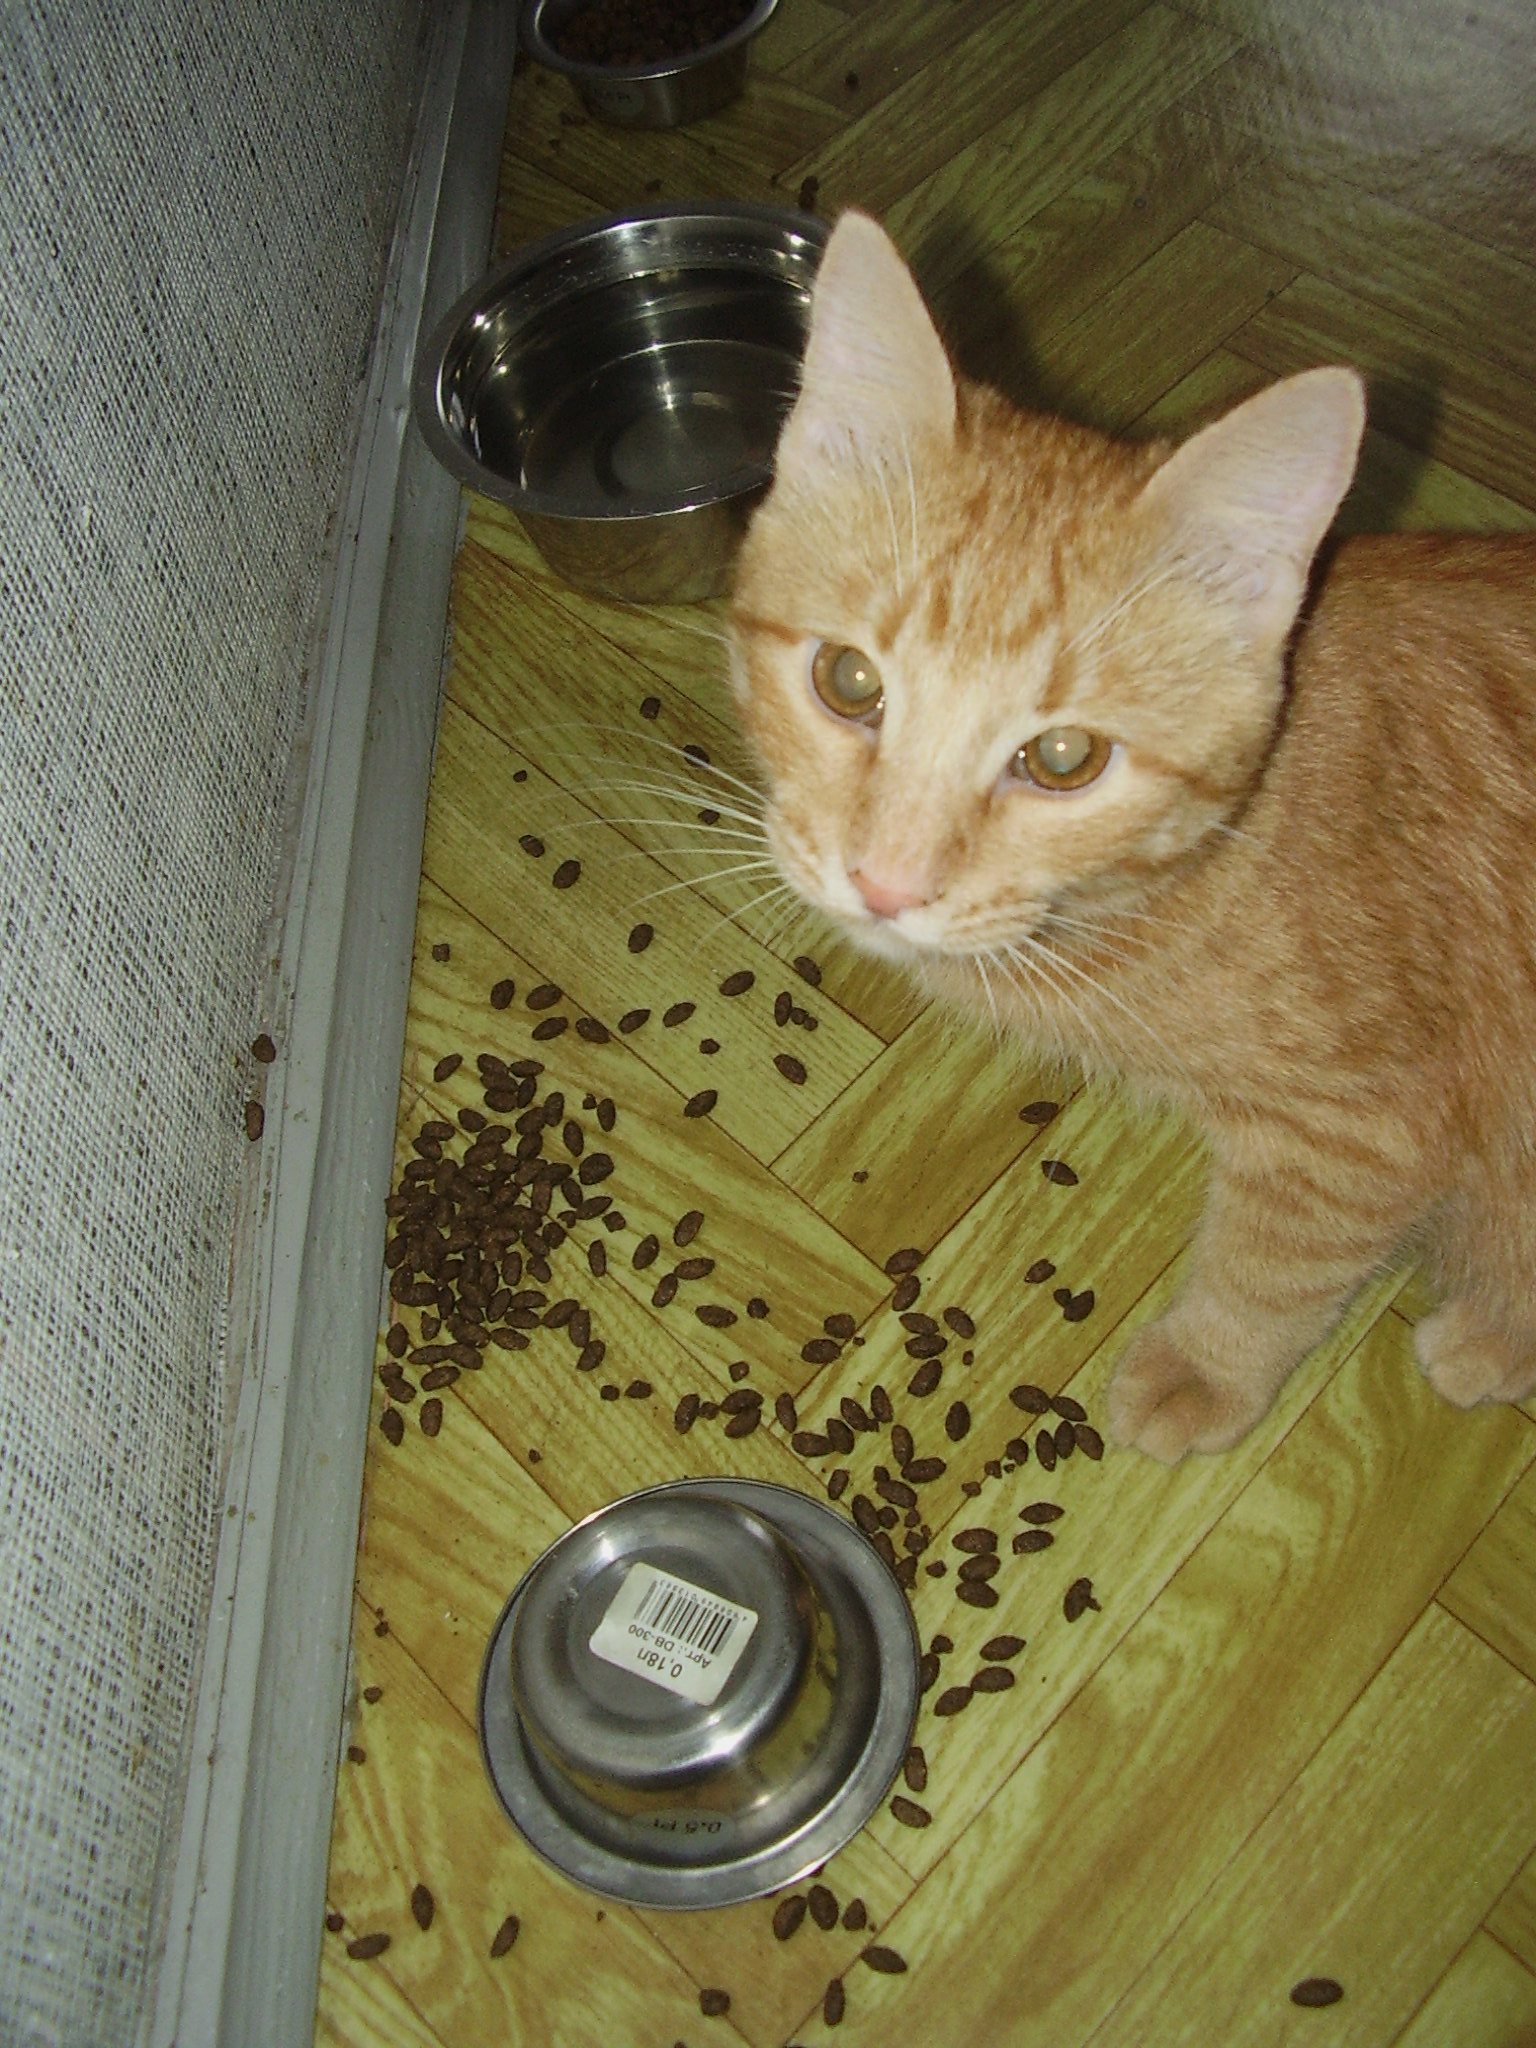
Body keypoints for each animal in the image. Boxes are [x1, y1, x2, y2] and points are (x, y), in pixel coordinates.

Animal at [726, 208, 1536, 1463]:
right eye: (848, 681)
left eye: (1064, 757)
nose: (885, 883)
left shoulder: (1371, 1127)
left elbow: (1277, 1260)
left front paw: (1206, 1367)